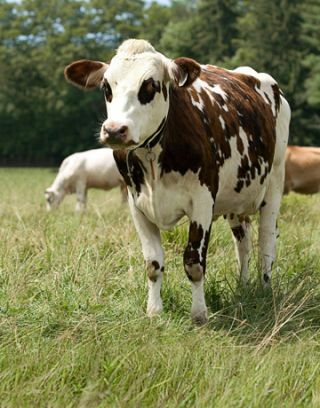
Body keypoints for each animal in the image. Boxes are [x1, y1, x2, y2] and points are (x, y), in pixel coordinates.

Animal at [64, 39, 290, 326]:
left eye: (150, 85)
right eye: (106, 87)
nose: (115, 130)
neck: (152, 158)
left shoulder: (202, 201)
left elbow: (194, 261)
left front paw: (199, 314)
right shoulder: (136, 205)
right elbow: (152, 263)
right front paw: (154, 310)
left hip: (274, 183)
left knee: (266, 243)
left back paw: (264, 289)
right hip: (236, 197)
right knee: (244, 243)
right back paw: (242, 286)